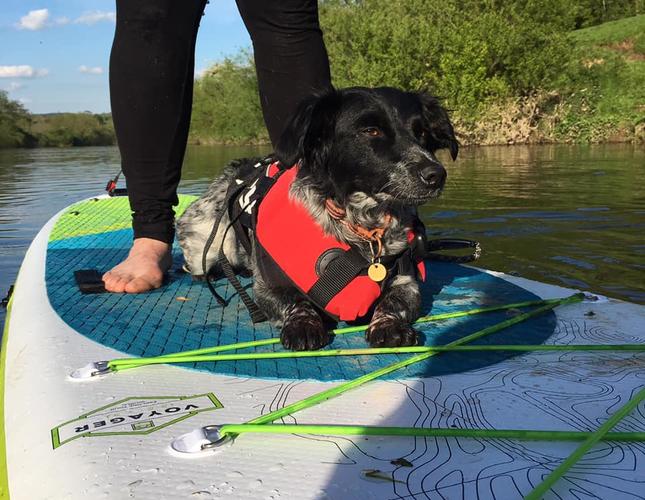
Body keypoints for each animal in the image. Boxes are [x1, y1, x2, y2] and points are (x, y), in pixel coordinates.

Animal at [176, 86, 458, 352]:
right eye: (371, 131)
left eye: (422, 133)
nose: (436, 174)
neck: (360, 226)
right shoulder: (268, 287)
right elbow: (296, 302)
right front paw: (303, 323)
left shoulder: (406, 281)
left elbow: (393, 302)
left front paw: (389, 324)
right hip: (206, 249)